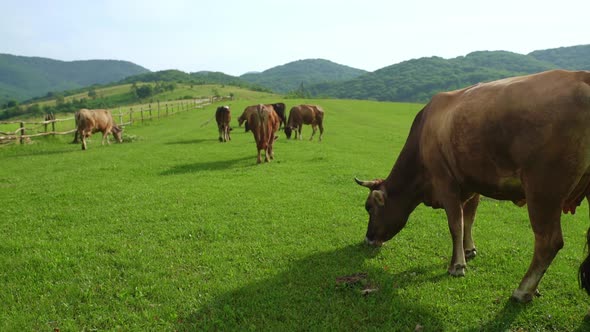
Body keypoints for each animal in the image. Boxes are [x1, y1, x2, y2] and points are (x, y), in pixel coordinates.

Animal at [354, 70, 590, 304]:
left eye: (369, 208)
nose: (368, 238)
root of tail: (580, 76)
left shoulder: (445, 182)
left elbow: (455, 224)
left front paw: (457, 265)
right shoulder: (472, 184)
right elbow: (469, 219)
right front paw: (468, 250)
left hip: (543, 190)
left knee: (548, 242)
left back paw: (523, 290)